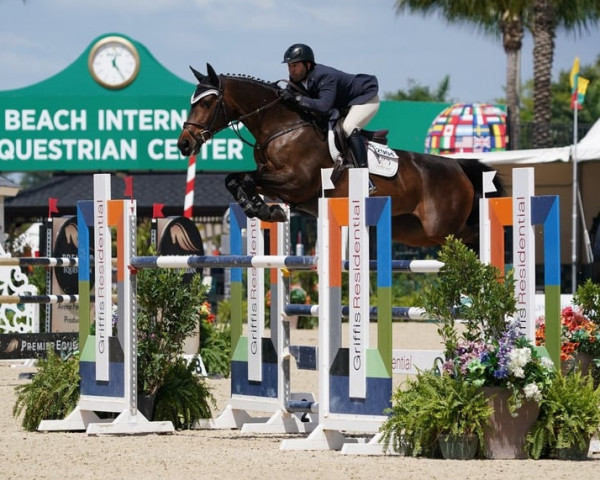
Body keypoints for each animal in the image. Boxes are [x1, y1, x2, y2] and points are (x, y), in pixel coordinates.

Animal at [177, 63, 502, 248]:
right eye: (192, 101)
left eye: (206, 103)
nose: (184, 144)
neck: (281, 127)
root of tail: (458, 168)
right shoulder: (279, 184)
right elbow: (236, 179)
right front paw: (262, 209)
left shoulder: (295, 182)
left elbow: (243, 177)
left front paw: (263, 210)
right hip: (415, 231)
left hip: (443, 227)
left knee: (474, 235)